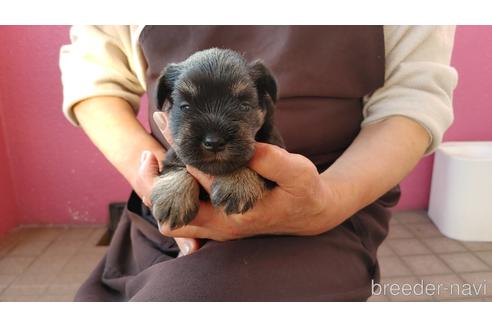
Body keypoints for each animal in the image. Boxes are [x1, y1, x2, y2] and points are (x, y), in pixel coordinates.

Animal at [150, 48, 284, 231]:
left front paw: (236, 183)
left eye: (244, 106)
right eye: (185, 107)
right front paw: (173, 196)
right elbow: (177, 163)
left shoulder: (275, 144)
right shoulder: (176, 149)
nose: (214, 142)